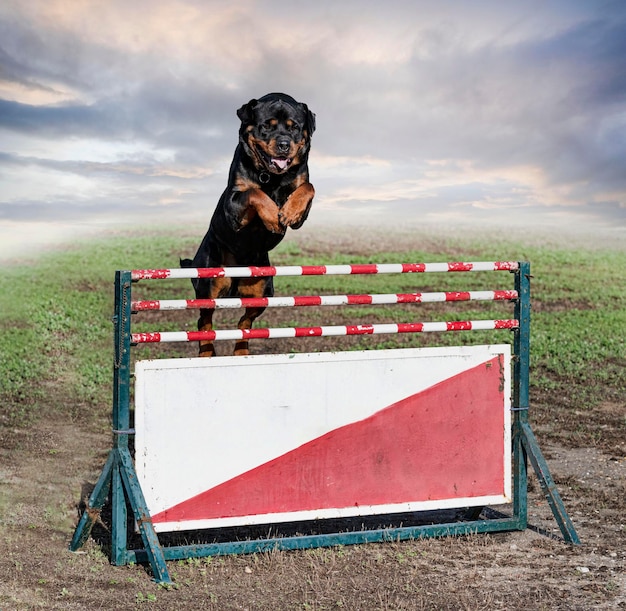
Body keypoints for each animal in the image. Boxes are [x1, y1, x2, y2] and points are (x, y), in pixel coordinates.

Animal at [183, 92, 314, 356]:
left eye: (295, 128)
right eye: (266, 126)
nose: (284, 145)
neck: (272, 177)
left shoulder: (302, 195)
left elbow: (307, 187)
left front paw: (289, 212)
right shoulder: (234, 206)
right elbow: (255, 192)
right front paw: (273, 216)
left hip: (263, 290)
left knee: (245, 322)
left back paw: (241, 351)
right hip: (209, 284)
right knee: (204, 321)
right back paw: (206, 352)